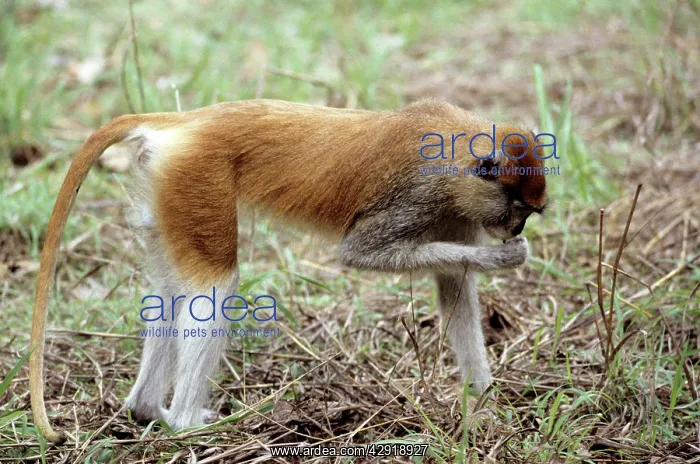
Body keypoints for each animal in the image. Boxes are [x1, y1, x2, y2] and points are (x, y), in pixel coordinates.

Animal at [29, 99, 547, 442]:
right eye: (518, 206)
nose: (516, 227)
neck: (457, 151)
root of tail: (189, 121)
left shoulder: (456, 211)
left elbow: (455, 287)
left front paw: (484, 405)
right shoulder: (422, 196)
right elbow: (361, 252)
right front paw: (506, 257)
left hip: (168, 186)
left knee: (170, 290)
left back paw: (145, 410)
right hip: (199, 177)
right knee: (215, 287)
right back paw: (185, 424)